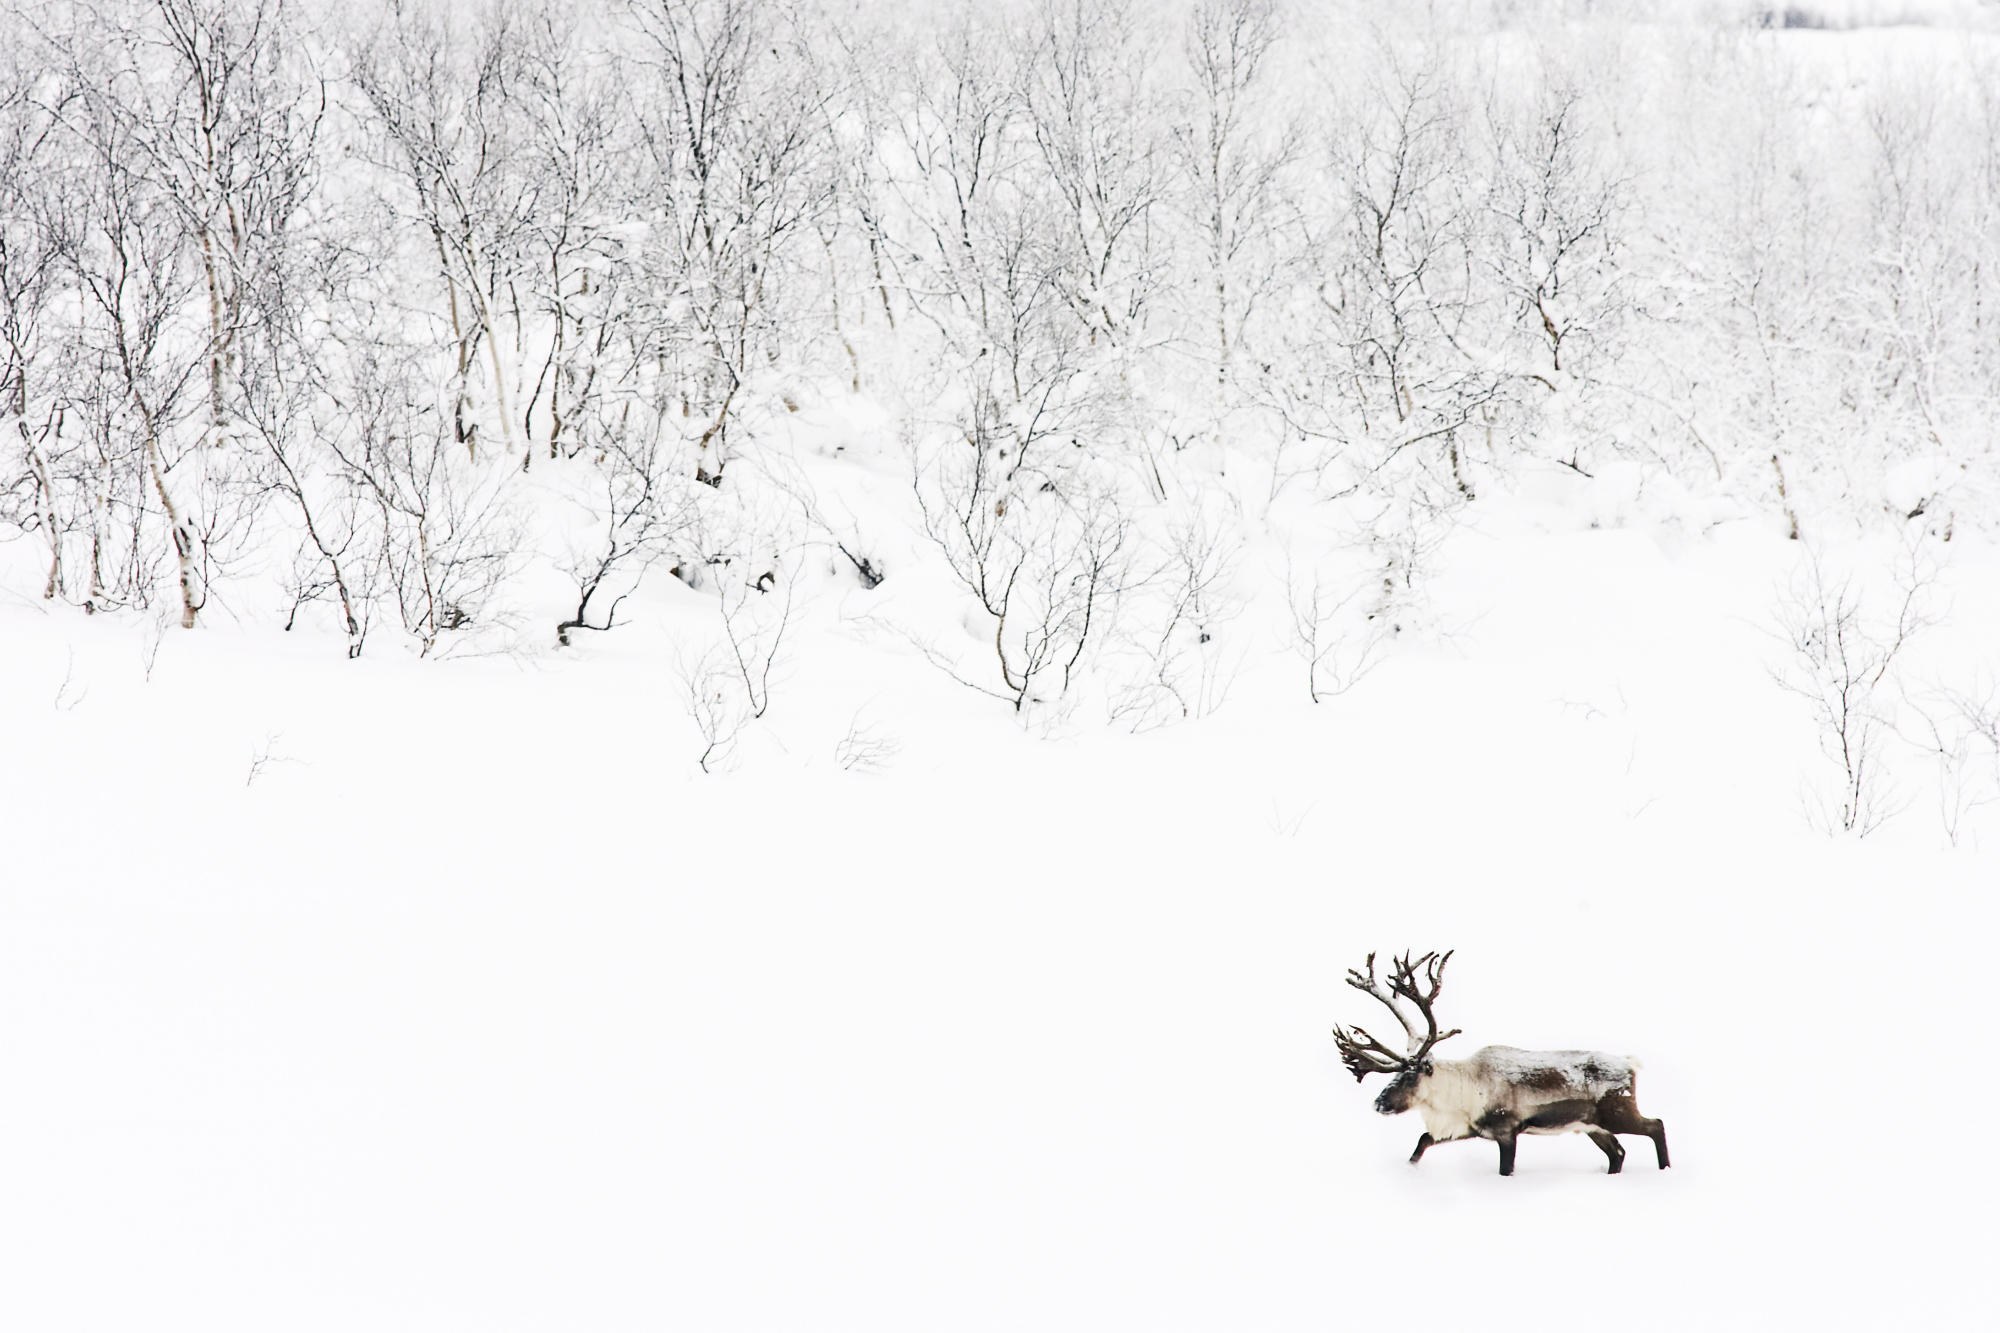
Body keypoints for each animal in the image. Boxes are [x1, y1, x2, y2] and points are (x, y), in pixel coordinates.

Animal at [1331, 950, 1669, 1176]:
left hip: (1618, 1113)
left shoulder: (1507, 1131)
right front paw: (1409, 1168)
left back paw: (1664, 1169)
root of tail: (1630, 1064)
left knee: (1656, 1125)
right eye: (1396, 1075)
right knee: (1618, 1152)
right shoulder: (1469, 1127)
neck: (1463, 1089)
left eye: (1409, 1077)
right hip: (1591, 1125)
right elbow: (1423, 1141)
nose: (1379, 1103)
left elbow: (1505, 1168)